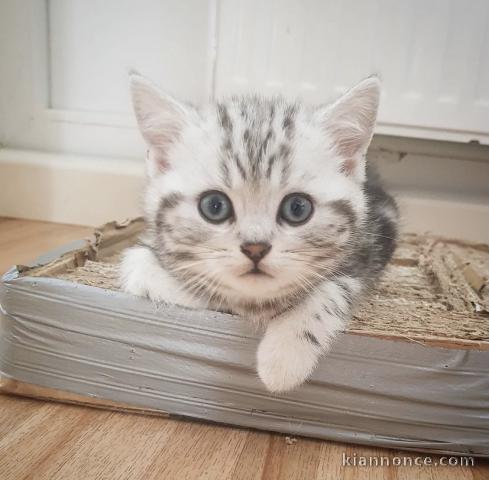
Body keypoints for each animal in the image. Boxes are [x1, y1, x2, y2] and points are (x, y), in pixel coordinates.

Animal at [121, 72, 396, 394]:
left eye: (297, 208)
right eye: (214, 206)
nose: (255, 248)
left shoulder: (373, 239)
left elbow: (334, 288)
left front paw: (285, 355)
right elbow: (140, 270)